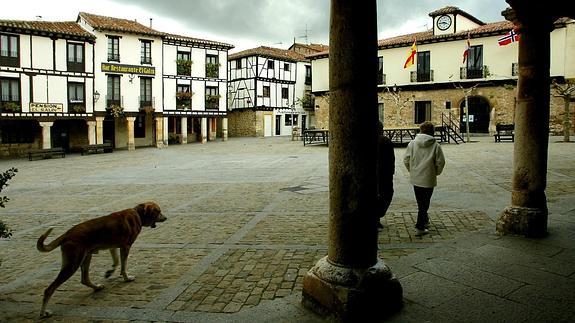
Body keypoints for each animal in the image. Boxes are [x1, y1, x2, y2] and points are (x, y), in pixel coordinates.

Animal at [36, 202, 166, 318]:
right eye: (158, 211)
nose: (166, 218)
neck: (138, 213)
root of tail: (66, 235)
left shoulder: (113, 246)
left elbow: (116, 261)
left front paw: (110, 272)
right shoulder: (126, 246)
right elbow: (123, 265)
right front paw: (126, 278)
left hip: (86, 257)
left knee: (85, 279)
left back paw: (97, 287)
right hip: (73, 263)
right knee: (49, 289)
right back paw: (43, 313)